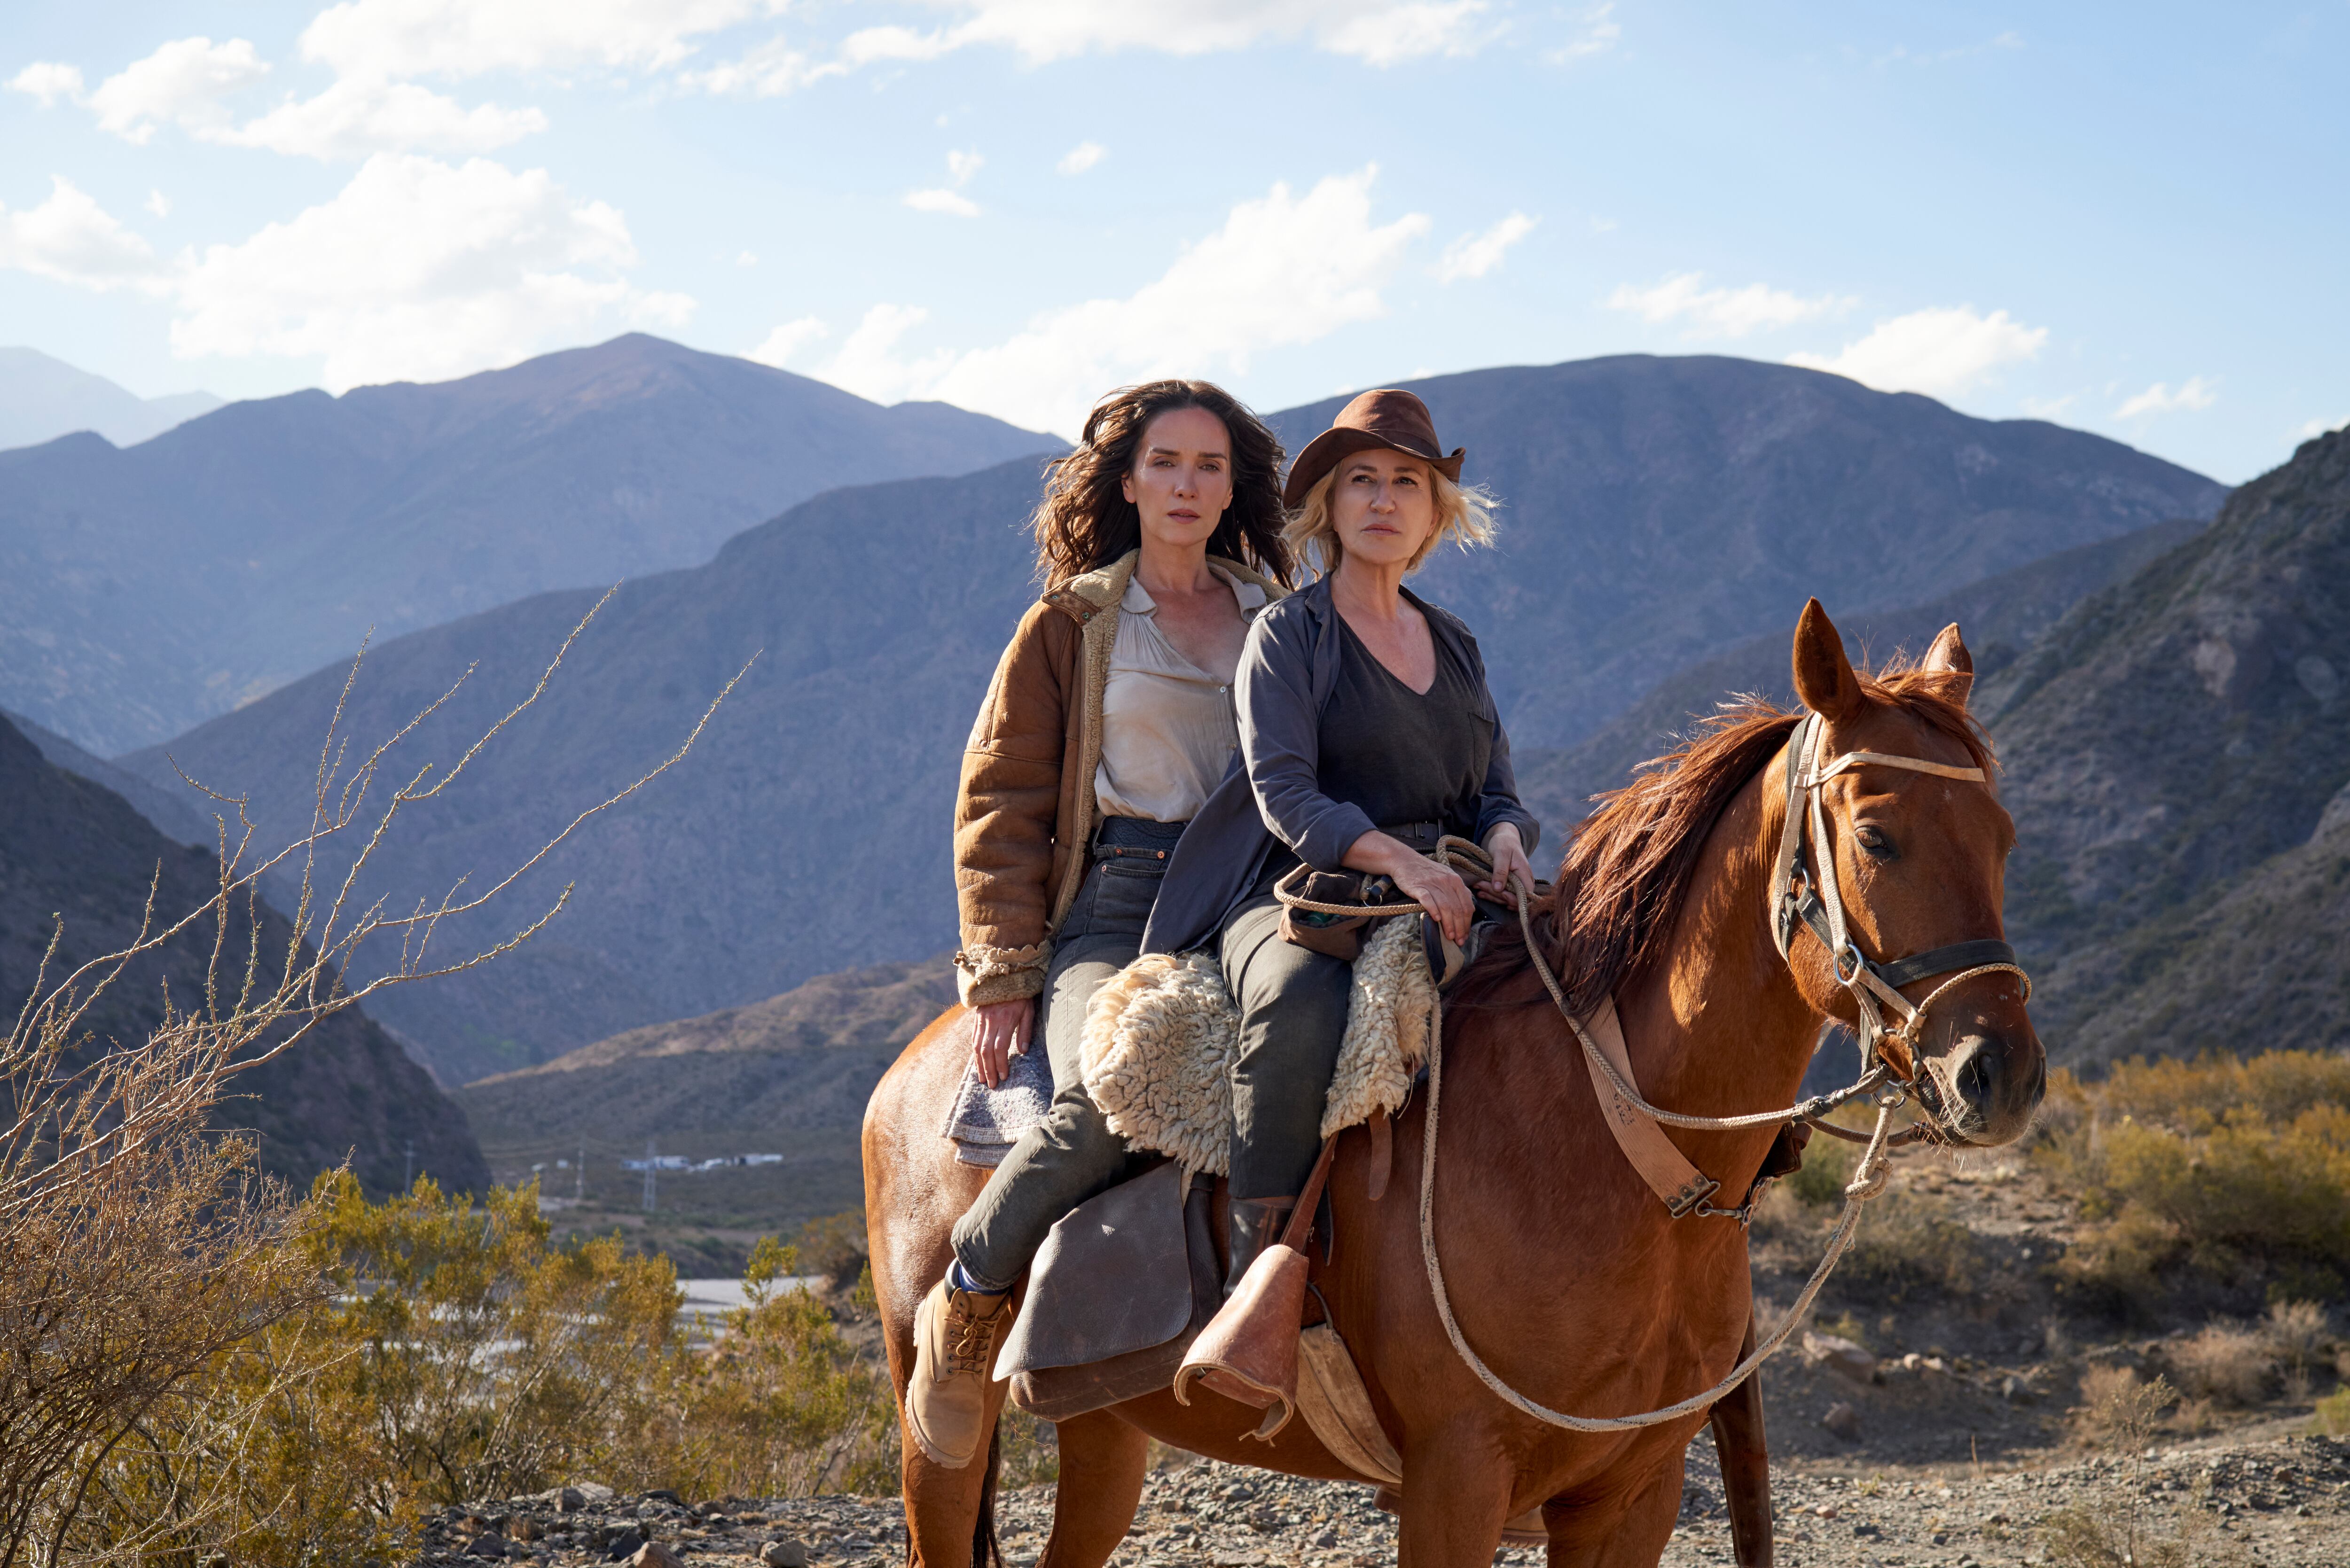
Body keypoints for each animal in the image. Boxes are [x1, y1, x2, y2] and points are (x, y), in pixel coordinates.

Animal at [860, 594, 2040, 1560]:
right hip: (940, 1452)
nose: (2001, 1074)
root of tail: (909, 1071)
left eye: (2002, 835)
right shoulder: (1454, 1479)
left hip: (1104, 1429)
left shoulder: (1632, 1493)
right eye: (1877, 835)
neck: (1612, 1150)